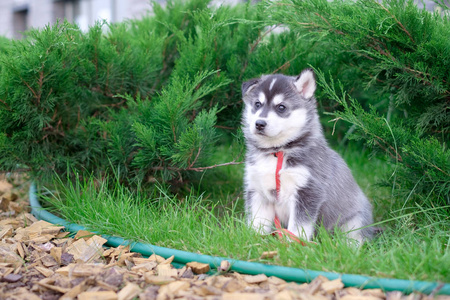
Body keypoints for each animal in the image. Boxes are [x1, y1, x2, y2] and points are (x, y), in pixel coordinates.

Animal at [243, 68, 372, 241]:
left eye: (281, 107)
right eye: (257, 104)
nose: (259, 124)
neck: (277, 151)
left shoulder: (308, 191)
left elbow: (298, 227)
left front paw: (293, 244)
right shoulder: (258, 190)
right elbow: (258, 223)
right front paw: (254, 241)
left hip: (354, 222)